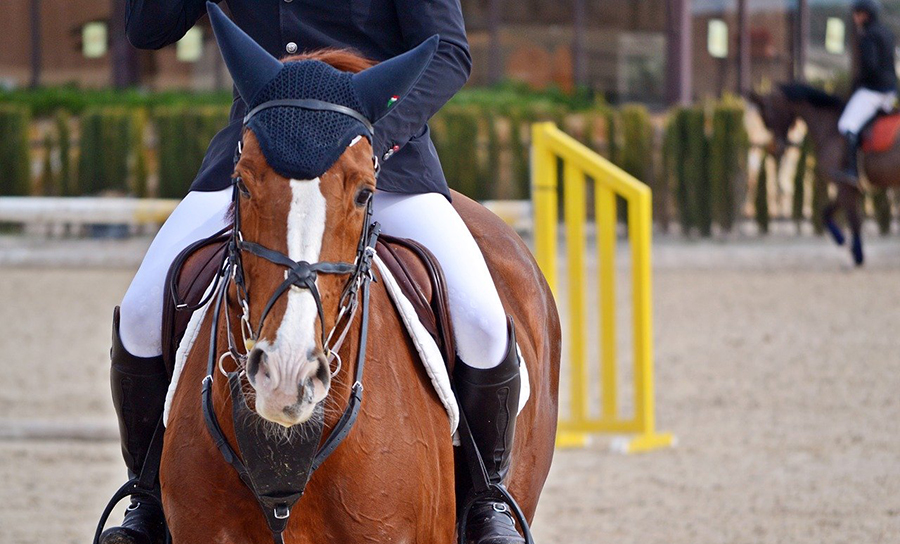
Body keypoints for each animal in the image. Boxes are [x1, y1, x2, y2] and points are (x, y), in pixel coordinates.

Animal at [744, 83, 900, 266]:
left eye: (767, 117)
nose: (773, 150)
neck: (829, 128)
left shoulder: (844, 185)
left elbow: (853, 220)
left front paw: (856, 255)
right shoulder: (849, 188)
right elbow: (826, 214)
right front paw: (843, 242)